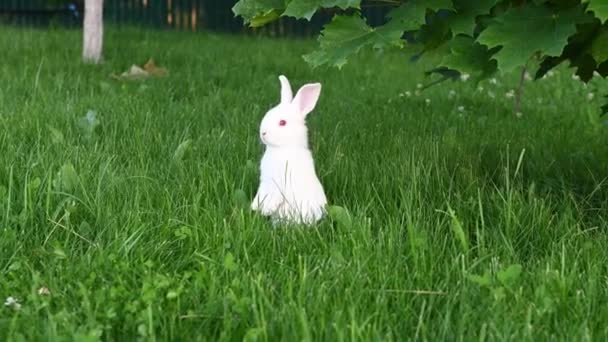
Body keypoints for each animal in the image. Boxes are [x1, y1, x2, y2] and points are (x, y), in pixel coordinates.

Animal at [252, 75, 328, 224]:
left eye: (282, 122)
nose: (263, 133)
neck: (283, 148)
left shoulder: (278, 184)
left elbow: (273, 197)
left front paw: (266, 210)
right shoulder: (265, 183)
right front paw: (255, 207)